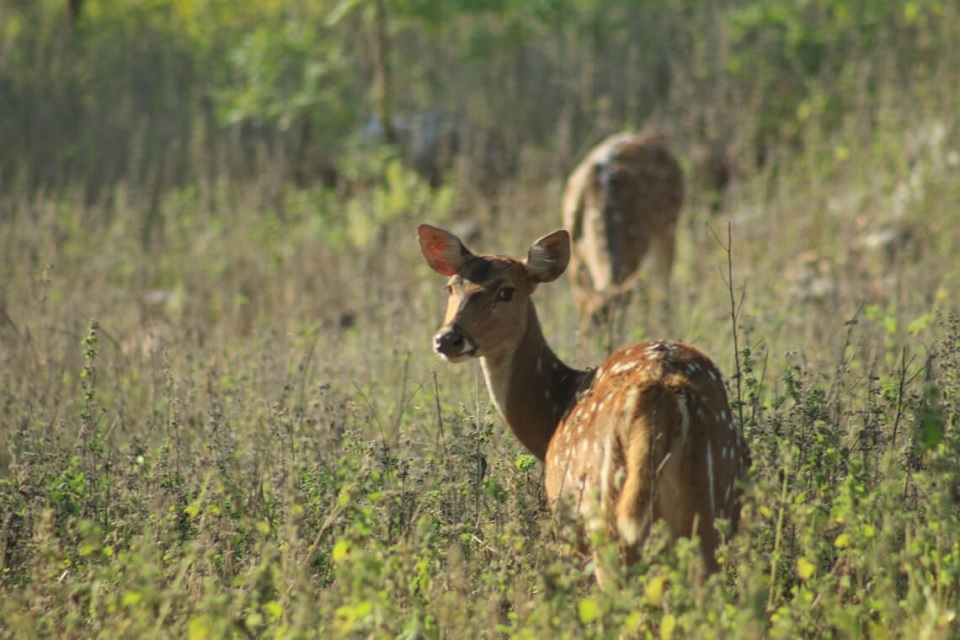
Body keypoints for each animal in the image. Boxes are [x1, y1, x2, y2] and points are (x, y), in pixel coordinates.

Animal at [420, 225, 752, 580]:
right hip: (714, 500)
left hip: (604, 515)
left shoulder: (564, 517)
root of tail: (663, 389)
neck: (558, 407)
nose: (447, 339)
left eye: (507, 291)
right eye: (451, 286)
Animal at [560, 134, 688, 324]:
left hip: (669, 226)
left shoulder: (634, 250)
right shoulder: (574, 255)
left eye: (621, 320)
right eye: (591, 324)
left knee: (663, 284)